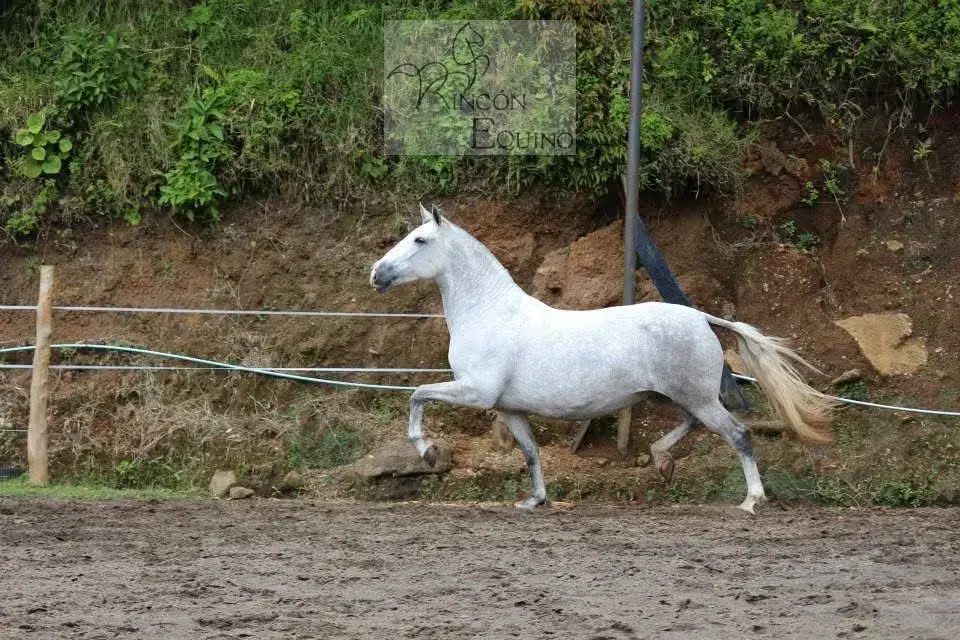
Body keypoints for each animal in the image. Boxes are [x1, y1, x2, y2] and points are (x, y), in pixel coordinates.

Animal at [370, 204, 837, 514]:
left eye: (420, 240)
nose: (376, 274)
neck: (490, 313)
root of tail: (702, 317)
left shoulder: (476, 392)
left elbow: (417, 394)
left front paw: (428, 453)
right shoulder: (510, 408)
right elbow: (531, 453)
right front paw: (534, 500)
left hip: (694, 396)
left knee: (737, 433)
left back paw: (752, 500)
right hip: (673, 395)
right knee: (693, 424)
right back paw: (662, 460)